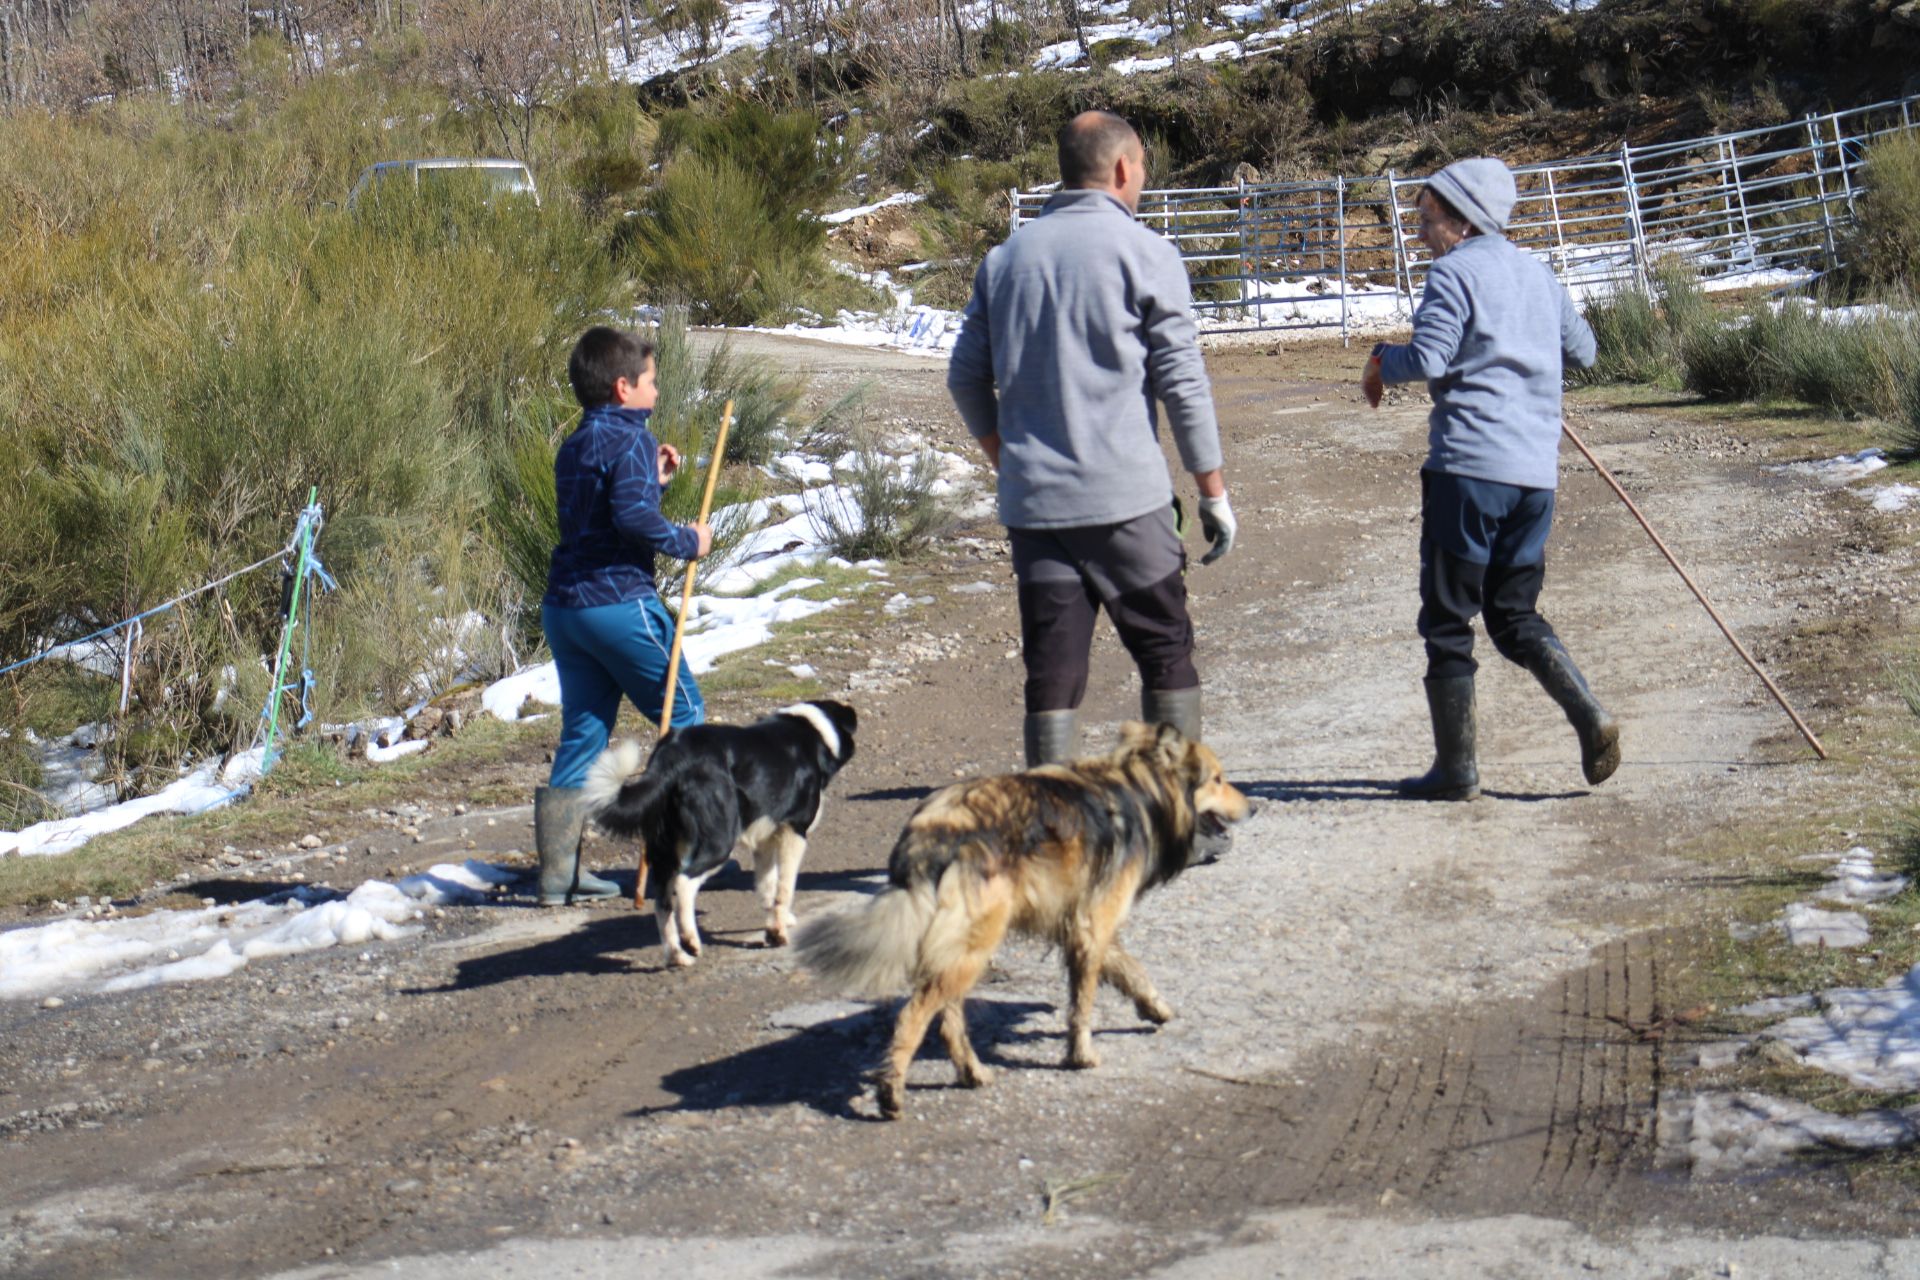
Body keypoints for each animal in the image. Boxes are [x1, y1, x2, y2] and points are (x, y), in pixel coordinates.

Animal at [579, 706, 860, 967]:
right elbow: (784, 889)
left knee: (662, 904)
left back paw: (677, 956)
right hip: (719, 842)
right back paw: (691, 940)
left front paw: (774, 926)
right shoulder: (794, 832)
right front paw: (778, 933)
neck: (812, 730)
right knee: (684, 883)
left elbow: (767, 886)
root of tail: (673, 754)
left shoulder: (764, 841)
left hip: (665, 852)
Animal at [791, 721, 1251, 1120]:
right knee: (914, 1016)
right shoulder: (1092, 922)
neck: (1140, 787)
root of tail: (931, 833)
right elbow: (1083, 1003)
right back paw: (891, 1093)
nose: (1254, 807)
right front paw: (1081, 1055)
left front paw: (1156, 1008)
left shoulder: (1076, 920)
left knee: (948, 1019)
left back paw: (972, 1073)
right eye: (1218, 779)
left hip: (960, 949)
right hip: (975, 943)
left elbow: (1128, 968)